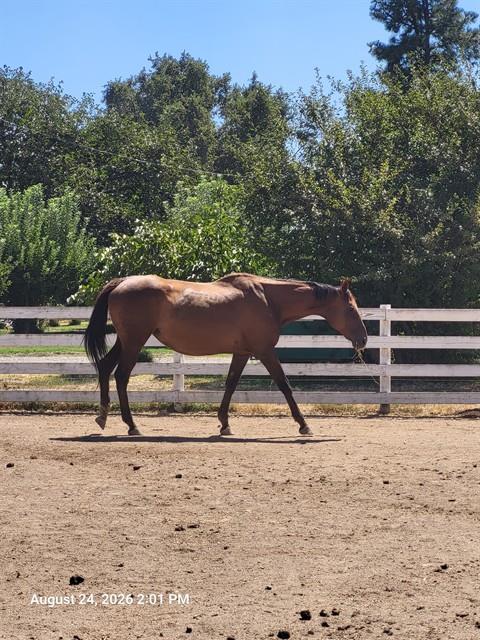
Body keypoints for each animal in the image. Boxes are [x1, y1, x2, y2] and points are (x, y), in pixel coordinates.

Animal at [84, 273, 367, 436]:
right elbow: (284, 385)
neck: (267, 299)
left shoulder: (241, 353)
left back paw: (103, 417)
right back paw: (131, 425)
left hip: (126, 341)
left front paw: (224, 423)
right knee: (121, 376)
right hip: (134, 342)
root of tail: (122, 282)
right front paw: (303, 424)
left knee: (105, 368)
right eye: (351, 309)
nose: (363, 339)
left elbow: (230, 384)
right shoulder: (265, 351)